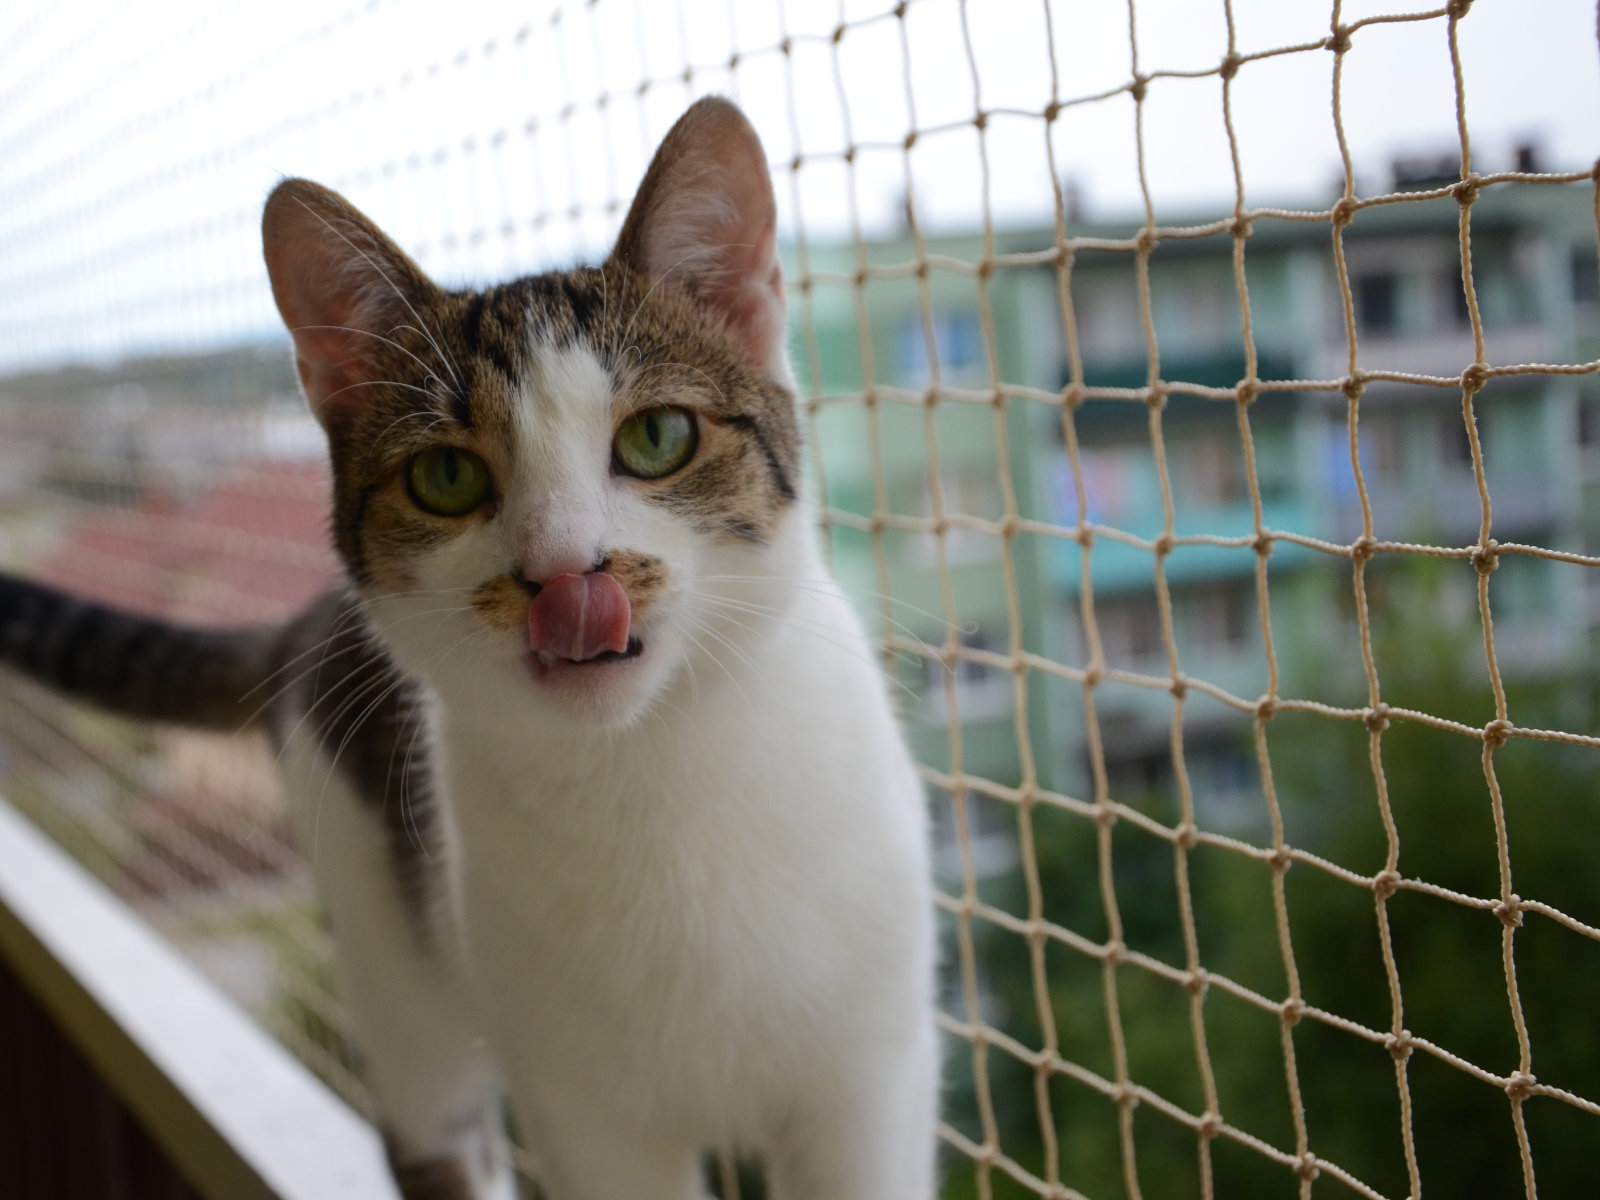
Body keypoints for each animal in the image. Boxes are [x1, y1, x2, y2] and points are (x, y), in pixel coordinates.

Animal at [0, 101, 934, 1200]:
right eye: (446, 477)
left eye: (658, 437)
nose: (566, 576)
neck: (650, 774)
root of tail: (310, 623)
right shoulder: (582, 1112)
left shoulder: (867, 1080)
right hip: (388, 946)